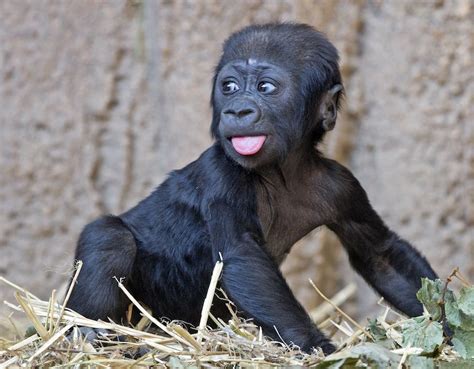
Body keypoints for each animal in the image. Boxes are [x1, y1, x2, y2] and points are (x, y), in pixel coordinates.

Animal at [66, 23, 436, 354]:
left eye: (265, 87)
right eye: (228, 86)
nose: (237, 110)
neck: (283, 170)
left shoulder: (342, 186)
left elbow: (379, 254)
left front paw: (443, 321)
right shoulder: (223, 174)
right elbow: (243, 257)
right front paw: (318, 347)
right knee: (110, 237)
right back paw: (90, 335)